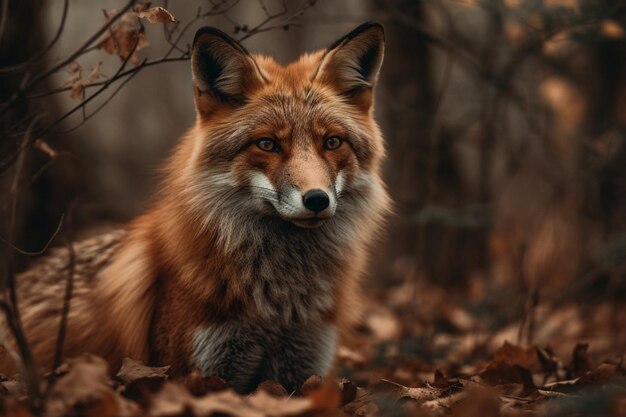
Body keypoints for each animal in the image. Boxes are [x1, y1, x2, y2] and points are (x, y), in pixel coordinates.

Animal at [0, 22, 388, 394]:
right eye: (267, 144)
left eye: (333, 142)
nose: (317, 199)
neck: (277, 306)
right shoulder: (196, 374)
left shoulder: (303, 371)